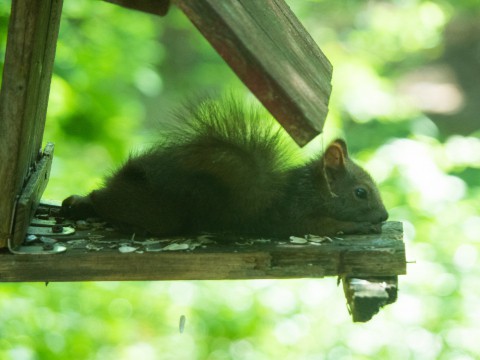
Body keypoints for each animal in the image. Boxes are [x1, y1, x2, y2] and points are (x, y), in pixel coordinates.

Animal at [61, 98, 390, 239]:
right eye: (361, 193)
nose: (385, 216)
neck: (312, 191)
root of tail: (125, 175)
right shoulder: (294, 217)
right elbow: (326, 226)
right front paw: (359, 226)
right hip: (159, 213)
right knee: (105, 200)